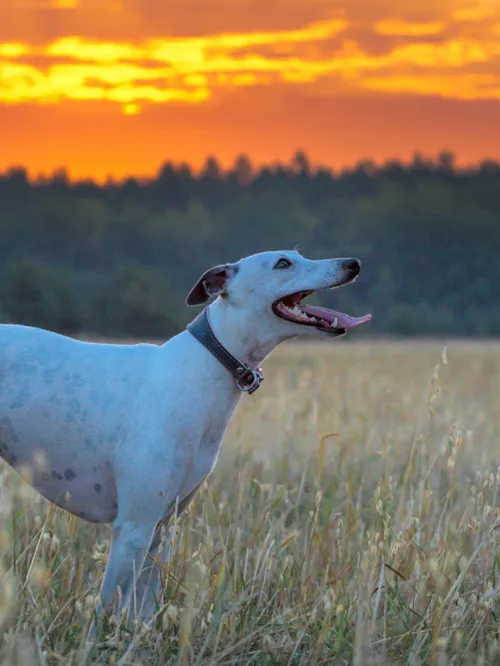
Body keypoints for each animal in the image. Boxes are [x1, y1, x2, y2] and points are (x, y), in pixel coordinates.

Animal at [0, 248, 372, 628]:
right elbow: (104, 614)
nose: (353, 264)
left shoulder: (160, 530)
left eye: (297, 255)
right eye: (283, 263)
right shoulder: (133, 527)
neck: (206, 364)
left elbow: (144, 614)